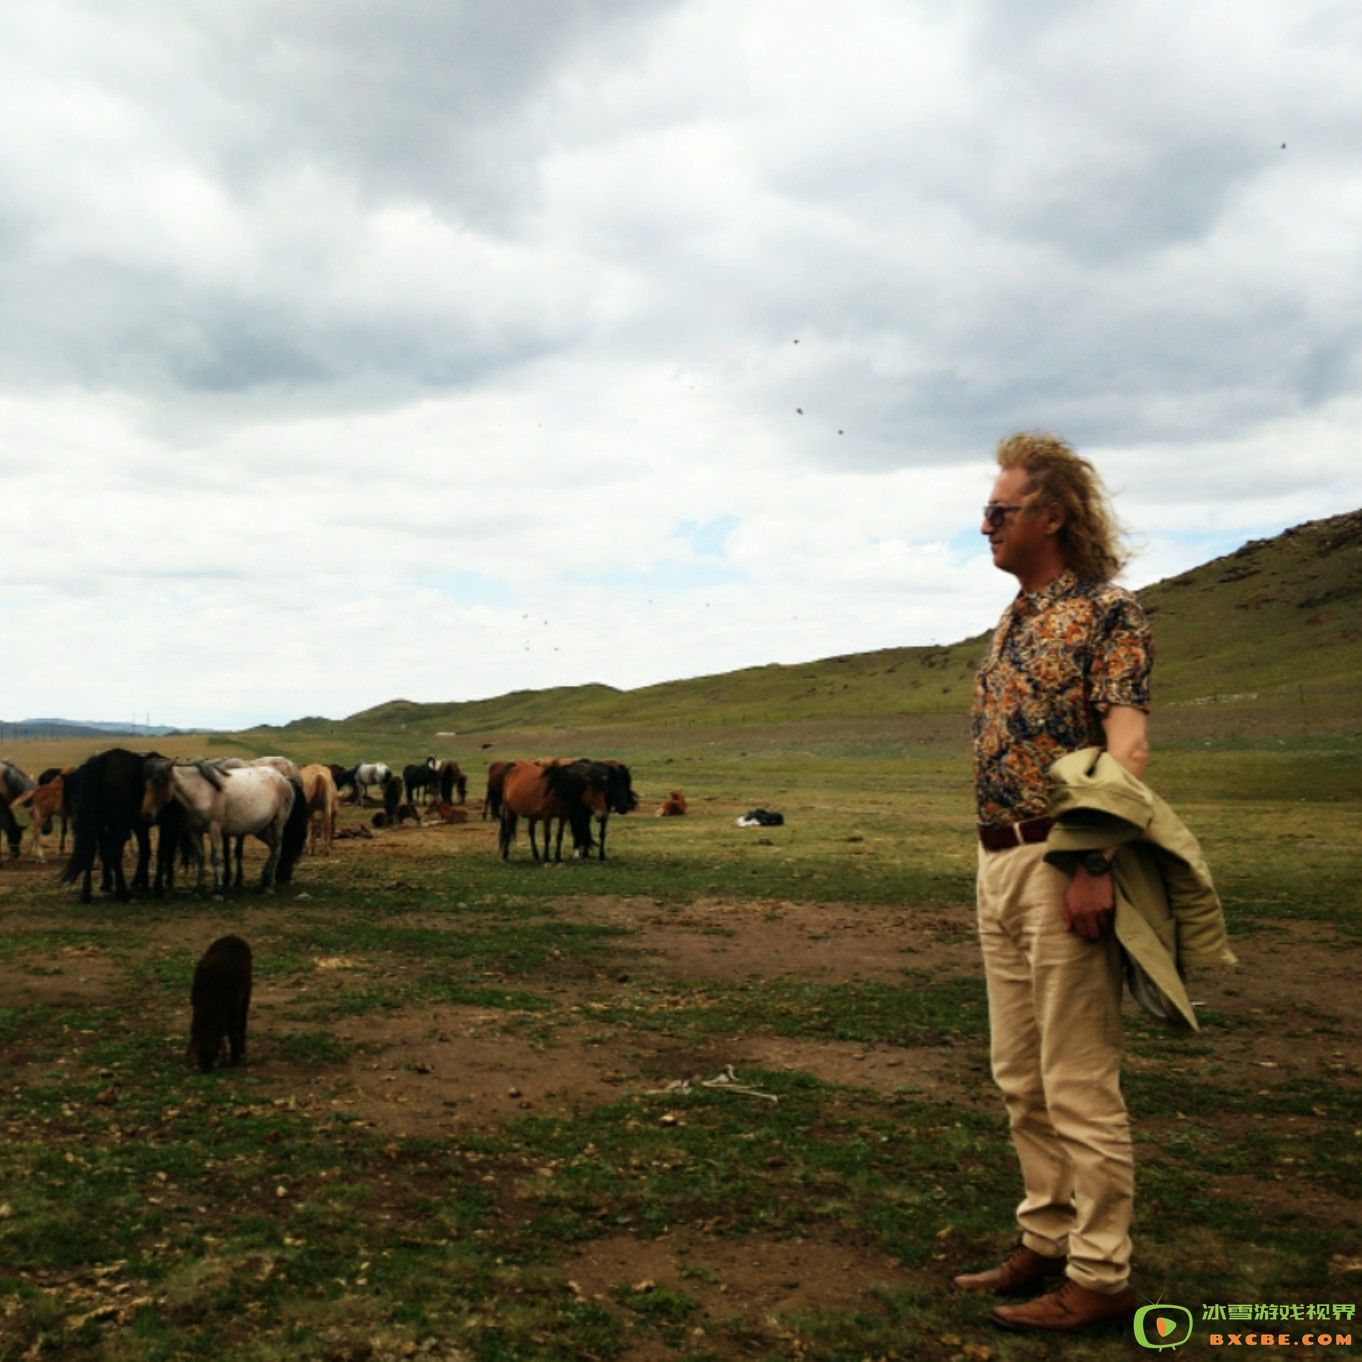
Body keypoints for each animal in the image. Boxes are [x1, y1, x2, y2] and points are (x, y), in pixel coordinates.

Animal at [140, 762, 301, 898]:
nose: (145, 814)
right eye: (147, 784)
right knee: (273, 848)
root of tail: (284, 779)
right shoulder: (194, 831)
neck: (201, 791)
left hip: (277, 825)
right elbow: (200, 858)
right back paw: (264, 878)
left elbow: (215, 858)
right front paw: (198, 889)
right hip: (261, 829)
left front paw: (218, 890)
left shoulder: (214, 828)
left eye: (160, 783)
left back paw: (270, 885)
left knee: (277, 848)